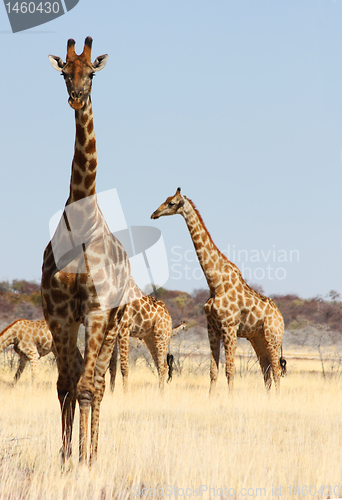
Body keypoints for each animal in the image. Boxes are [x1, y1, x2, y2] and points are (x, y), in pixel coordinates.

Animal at [151, 188, 288, 394]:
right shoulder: (212, 328)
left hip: (273, 337)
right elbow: (213, 371)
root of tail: (281, 318)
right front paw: (211, 397)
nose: (154, 214)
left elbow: (230, 370)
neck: (215, 283)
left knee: (277, 370)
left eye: (171, 203)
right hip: (258, 338)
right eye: (165, 199)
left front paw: (230, 399)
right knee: (266, 370)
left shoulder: (229, 327)